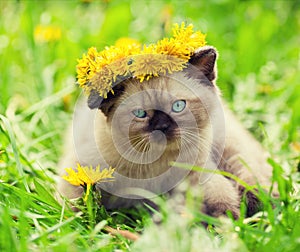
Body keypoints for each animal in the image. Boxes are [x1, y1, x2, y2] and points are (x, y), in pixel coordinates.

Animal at [58, 46, 274, 219]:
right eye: (140, 114)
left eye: (178, 106)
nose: (161, 127)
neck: (153, 165)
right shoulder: (78, 173)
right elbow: (74, 211)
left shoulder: (200, 178)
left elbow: (221, 202)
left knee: (251, 174)